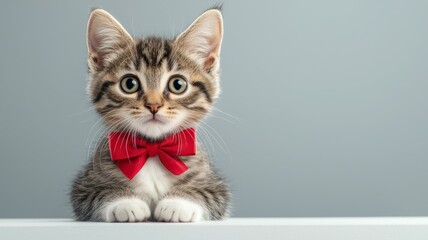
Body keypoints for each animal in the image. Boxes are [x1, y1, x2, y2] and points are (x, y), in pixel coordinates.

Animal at [70, 7, 231, 222]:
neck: (152, 151)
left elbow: (206, 193)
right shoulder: (84, 185)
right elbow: (99, 192)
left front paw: (178, 204)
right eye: (129, 84)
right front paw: (126, 203)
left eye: (178, 84)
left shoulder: (216, 186)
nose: (153, 105)